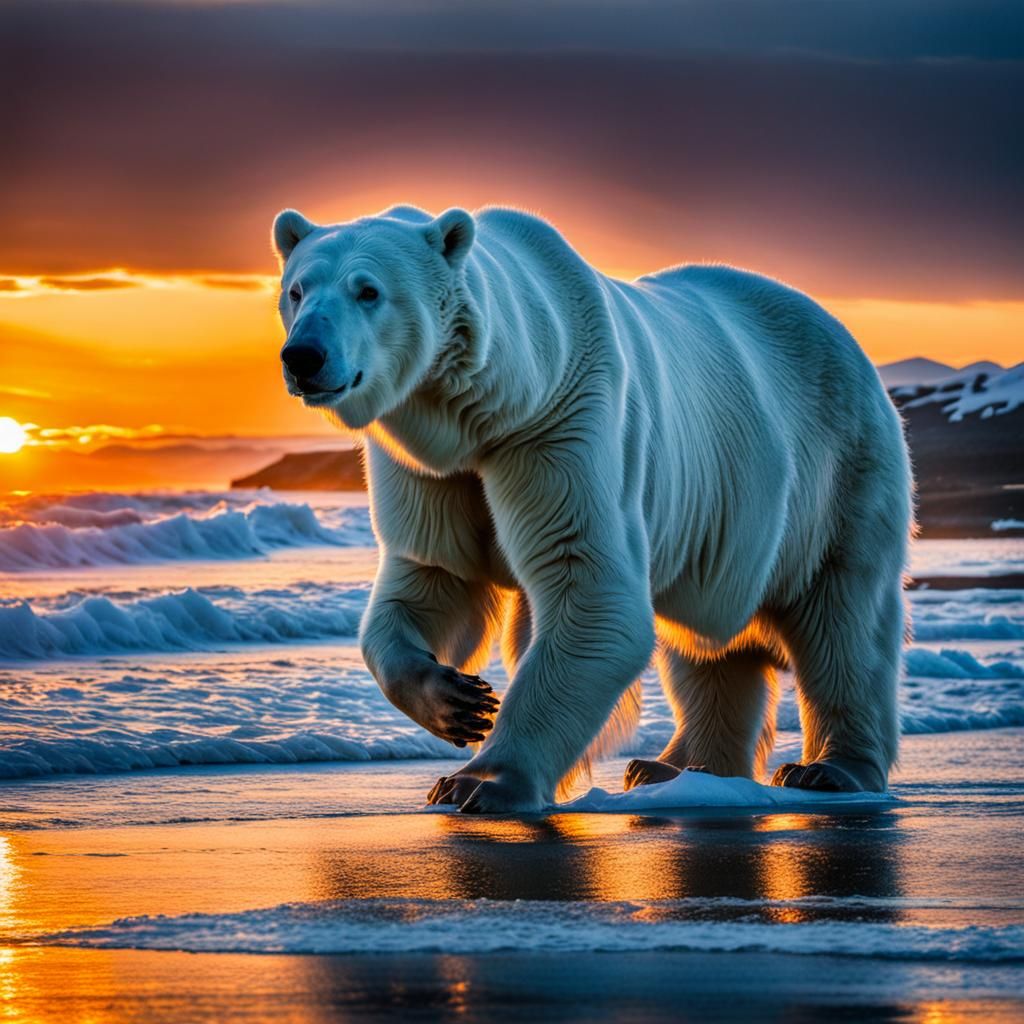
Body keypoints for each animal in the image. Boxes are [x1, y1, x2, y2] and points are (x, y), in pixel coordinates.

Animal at [272, 203, 912, 813]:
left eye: (368, 290)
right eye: (298, 289)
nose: (303, 356)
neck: (496, 404)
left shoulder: (562, 426)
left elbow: (592, 586)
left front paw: (476, 782)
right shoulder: (430, 468)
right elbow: (433, 575)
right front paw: (457, 703)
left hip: (837, 478)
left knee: (843, 621)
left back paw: (826, 769)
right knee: (706, 647)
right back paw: (672, 766)